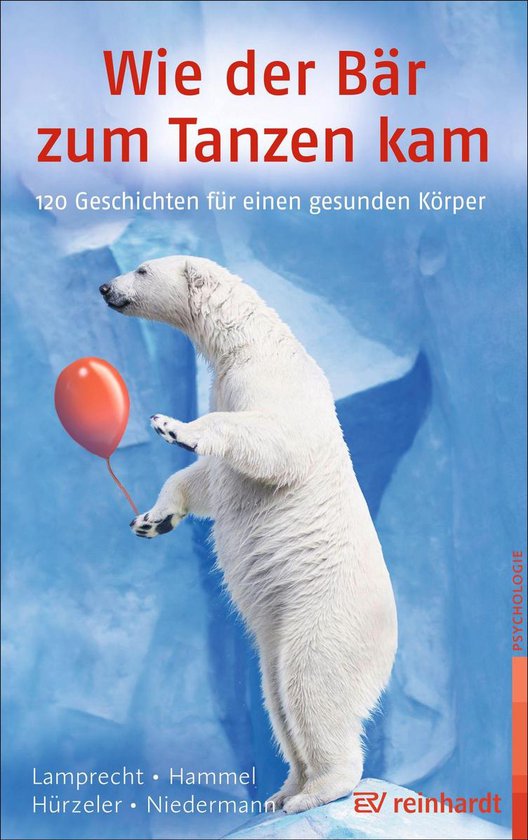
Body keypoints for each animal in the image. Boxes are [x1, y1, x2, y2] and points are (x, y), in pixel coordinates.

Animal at [100, 255, 398, 814]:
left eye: (143, 269)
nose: (106, 286)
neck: (249, 341)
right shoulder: (228, 382)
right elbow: (205, 483)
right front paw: (151, 520)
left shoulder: (271, 384)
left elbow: (275, 445)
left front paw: (171, 425)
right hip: (277, 636)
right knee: (276, 697)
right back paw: (284, 791)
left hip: (323, 618)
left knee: (311, 687)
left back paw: (316, 791)